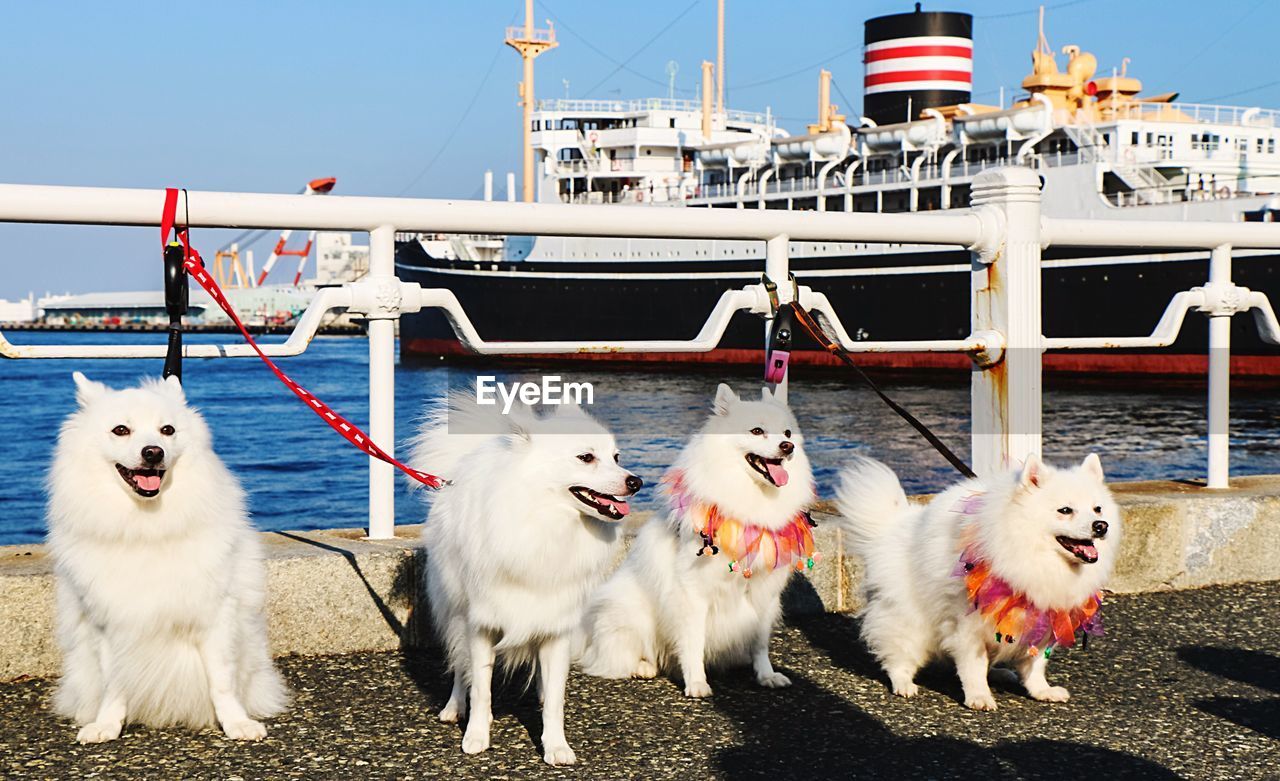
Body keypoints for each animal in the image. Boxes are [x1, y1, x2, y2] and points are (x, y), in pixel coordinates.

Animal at [47, 373, 288, 737]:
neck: (147, 525)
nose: (152, 452)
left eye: (167, 430)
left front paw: (236, 723)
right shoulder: (107, 621)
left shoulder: (215, 613)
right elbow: (114, 682)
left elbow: (222, 680)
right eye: (121, 430)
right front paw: (107, 725)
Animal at [412, 391, 640, 763]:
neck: (545, 522)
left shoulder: (556, 624)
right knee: (459, 664)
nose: (636, 481)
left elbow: (556, 701)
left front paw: (556, 745)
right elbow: (481, 688)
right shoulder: (481, 623)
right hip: (455, 610)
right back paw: (454, 707)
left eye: (617, 457)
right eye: (586, 457)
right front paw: (476, 735)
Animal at [578, 386, 808, 696]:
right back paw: (643, 666)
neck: (751, 501)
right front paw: (697, 682)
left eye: (787, 432)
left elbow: (760, 642)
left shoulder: (764, 593)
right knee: (613, 656)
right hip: (628, 612)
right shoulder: (692, 593)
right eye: (757, 431)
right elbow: (693, 642)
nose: (787, 447)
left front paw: (766, 675)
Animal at [829, 453, 1121, 706]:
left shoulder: (1041, 617)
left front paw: (1041, 690)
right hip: (910, 622)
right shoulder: (967, 625)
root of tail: (891, 526)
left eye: (1097, 509)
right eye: (1065, 510)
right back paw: (903, 683)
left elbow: (1035, 664)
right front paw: (979, 696)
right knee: (899, 654)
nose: (1101, 525)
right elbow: (973, 665)